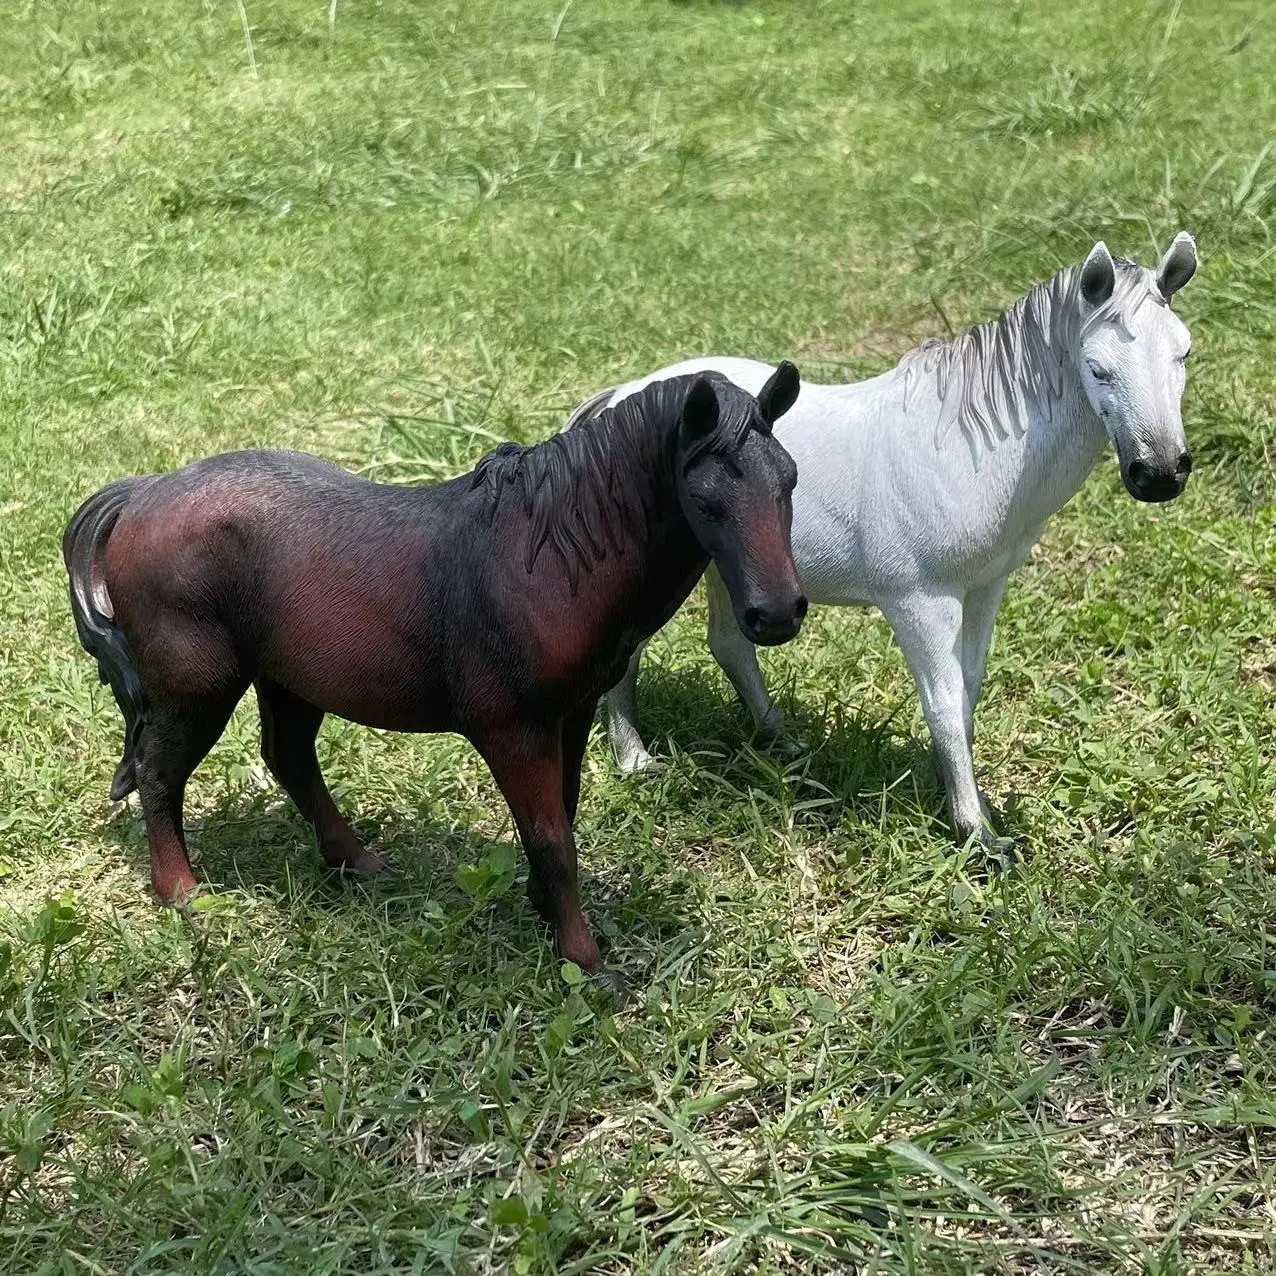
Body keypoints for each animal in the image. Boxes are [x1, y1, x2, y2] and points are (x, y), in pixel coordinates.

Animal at [63, 365, 806, 992]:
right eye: (705, 501)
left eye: (790, 481)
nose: (776, 614)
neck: (543, 559)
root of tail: (142, 495)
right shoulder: (515, 732)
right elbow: (551, 839)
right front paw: (586, 963)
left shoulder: (570, 715)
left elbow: (561, 819)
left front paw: (544, 912)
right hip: (197, 691)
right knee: (160, 773)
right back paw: (182, 894)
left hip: (288, 682)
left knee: (288, 758)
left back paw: (356, 862)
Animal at [570, 234, 1198, 852]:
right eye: (1097, 369)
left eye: (1183, 354)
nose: (1161, 474)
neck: (964, 451)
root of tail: (618, 402)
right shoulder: (921, 603)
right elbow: (942, 703)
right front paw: (976, 833)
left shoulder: (984, 588)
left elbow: (967, 692)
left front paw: (966, 797)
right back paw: (635, 760)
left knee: (729, 644)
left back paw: (785, 747)